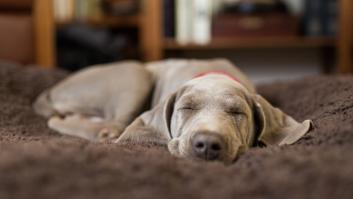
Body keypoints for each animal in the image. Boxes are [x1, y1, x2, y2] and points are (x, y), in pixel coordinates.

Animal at [33, 58, 310, 162]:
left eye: (237, 113)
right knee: (103, 125)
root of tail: (53, 90)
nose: (207, 144)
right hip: (135, 74)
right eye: (186, 107)